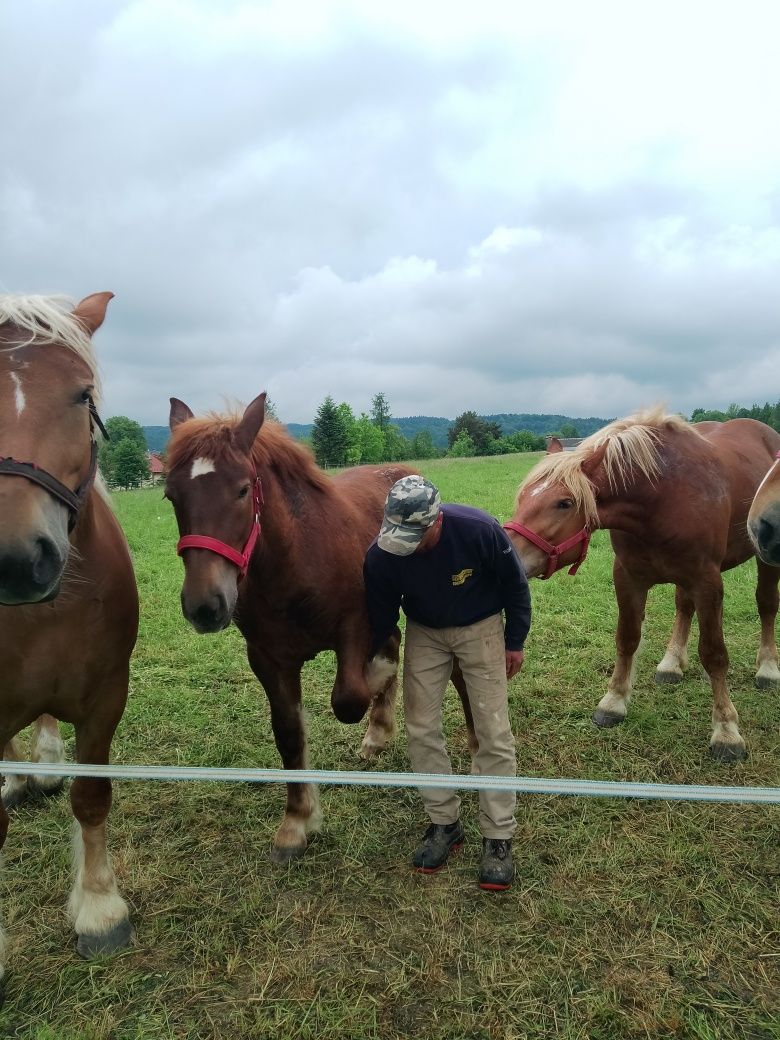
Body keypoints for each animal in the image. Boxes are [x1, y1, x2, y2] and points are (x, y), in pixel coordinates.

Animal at [165, 393, 476, 865]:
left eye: (242, 490)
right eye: (171, 495)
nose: (204, 606)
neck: (297, 561)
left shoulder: (354, 630)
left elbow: (349, 698)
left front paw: (375, 687)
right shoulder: (268, 660)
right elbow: (290, 734)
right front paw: (297, 822)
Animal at [507, 407, 780, 765]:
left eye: (564, 503)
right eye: (523, 496)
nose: (509, 558)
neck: (662, 498)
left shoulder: (707, 582)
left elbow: (715, 654)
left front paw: (726, 730)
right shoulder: (628, 578)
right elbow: (627, 639)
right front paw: (614, 701)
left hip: (764, 557)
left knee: (766, 604)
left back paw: (767, 668)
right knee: (683, 607)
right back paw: (671, 663)